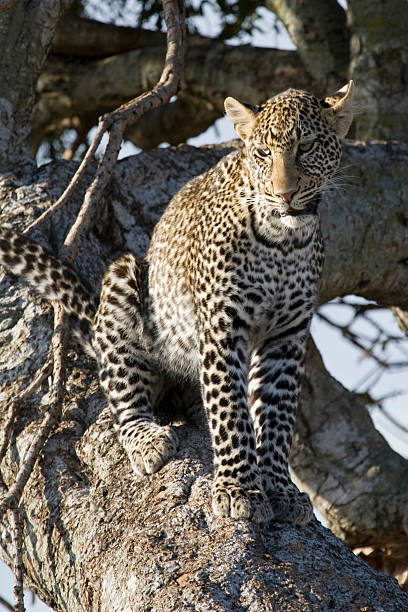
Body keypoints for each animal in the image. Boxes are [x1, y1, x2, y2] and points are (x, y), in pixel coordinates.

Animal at [0, 80, 354, 520]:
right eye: (262, 154)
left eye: (305, 147)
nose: (285, 194)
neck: (284, 241)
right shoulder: (223, 326)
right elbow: (231, 410)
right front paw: (239, 488)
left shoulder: (286, 337)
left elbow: (278, 417)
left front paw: (279, 487)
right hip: (123, 282)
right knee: (125, 401)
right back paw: (149, 441)